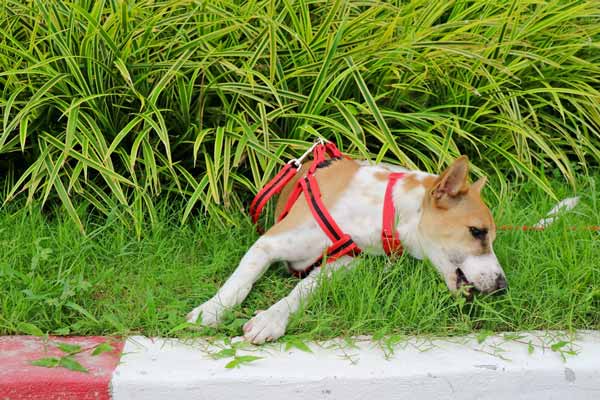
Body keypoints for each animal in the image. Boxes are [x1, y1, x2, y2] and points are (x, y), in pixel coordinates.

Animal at [188, 156, 506, 344]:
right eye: (477, 232)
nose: (503, 286)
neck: (383, 210)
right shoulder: (269, 243)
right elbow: (240, 282)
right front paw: (211, 309)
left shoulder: (344, 263)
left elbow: (303, 289)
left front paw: (271, 319)